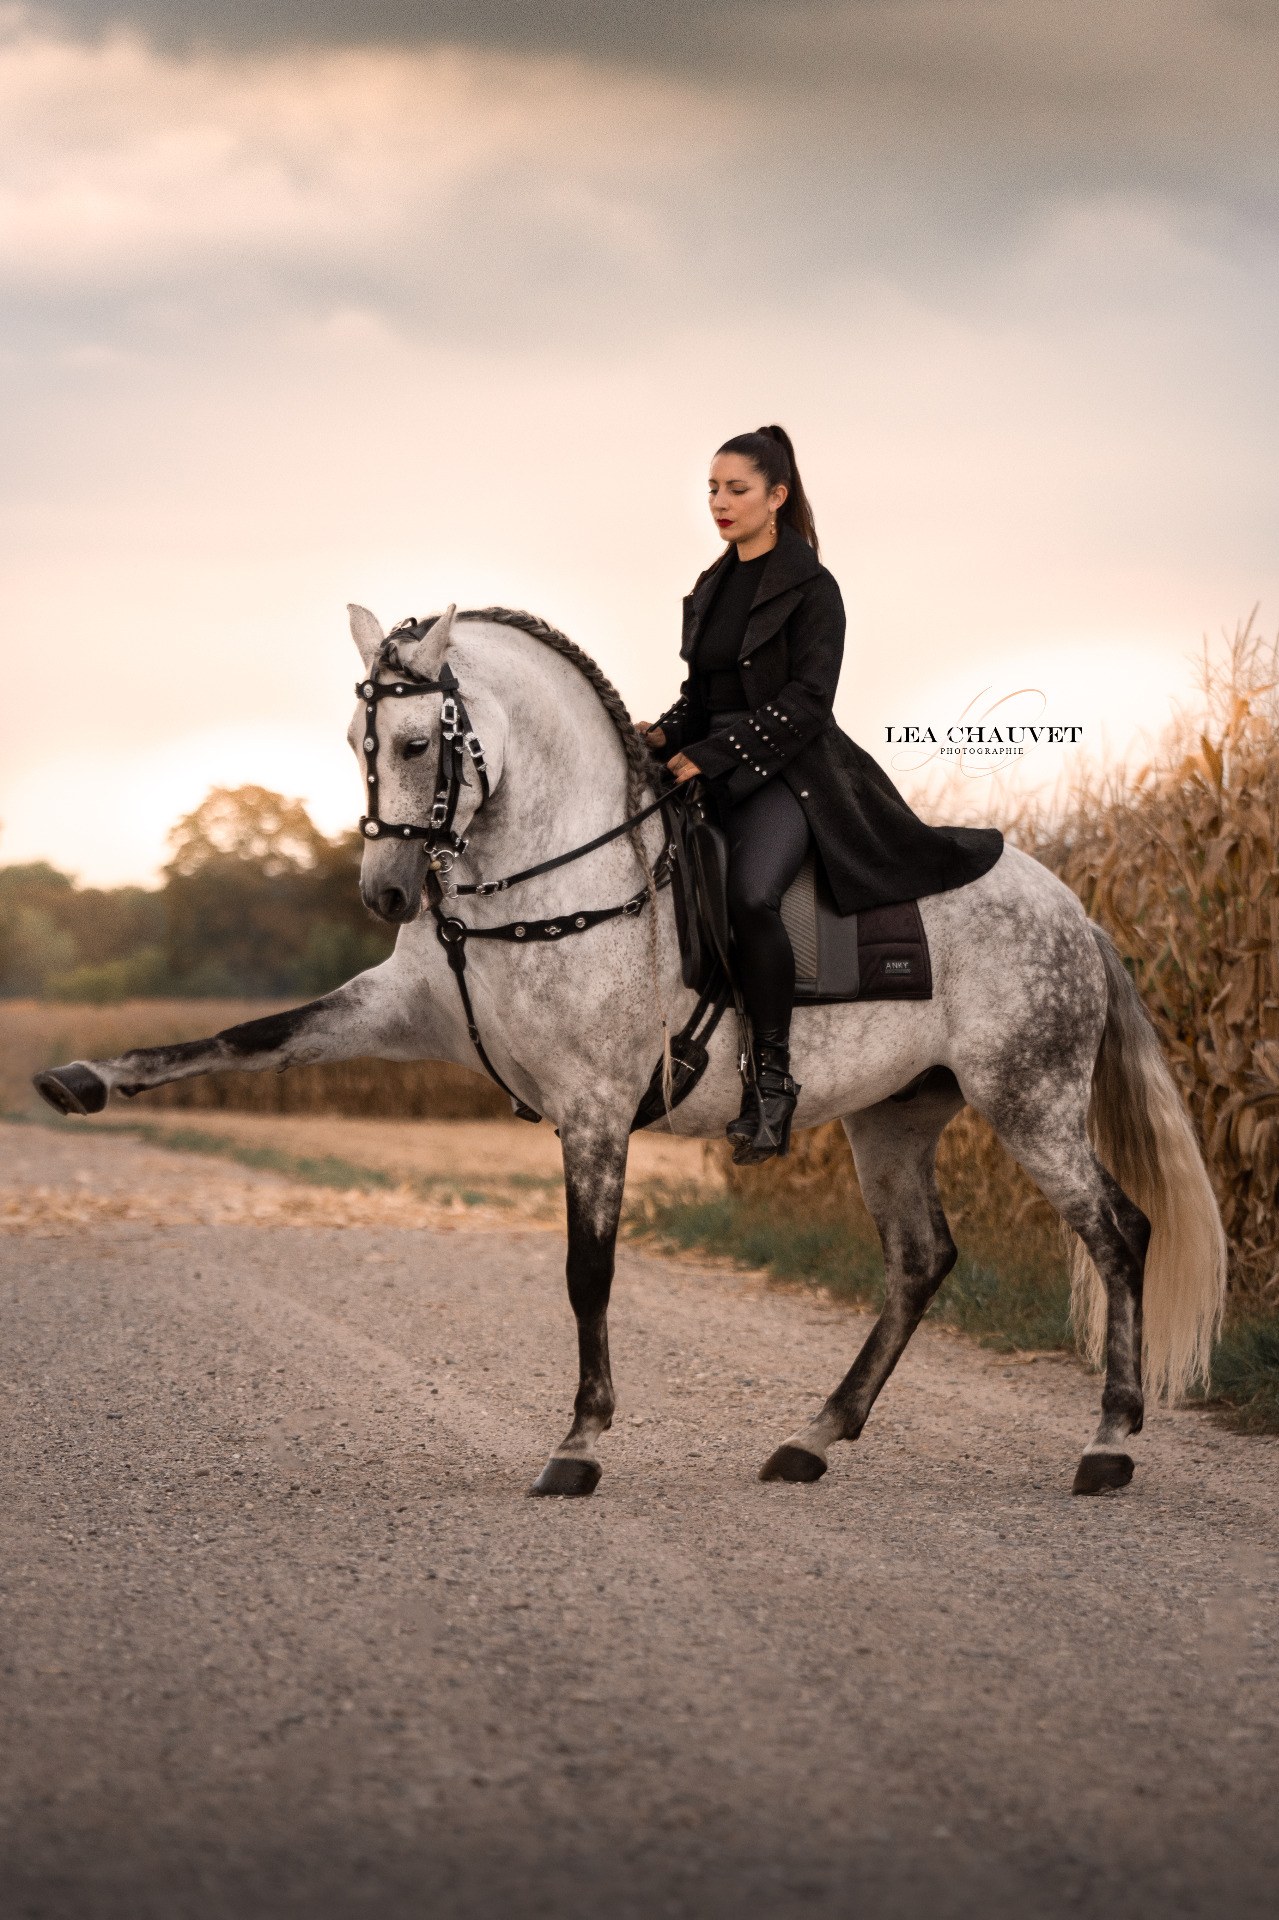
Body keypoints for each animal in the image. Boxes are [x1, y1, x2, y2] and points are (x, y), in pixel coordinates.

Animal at [34, 602, 1227, 1499]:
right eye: (353, 744)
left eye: (417, 743)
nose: (383, 894)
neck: (539, 881)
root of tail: (1073, 908)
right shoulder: (391, 1011)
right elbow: (241, 1040)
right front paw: (83, 1079)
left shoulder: (596, 1109)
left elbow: (587, 1270)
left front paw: (578, 1443)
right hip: (895, 1117)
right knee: (919, 1260)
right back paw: (810, 1437)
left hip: (1028, 1098)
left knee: (1118, 1232)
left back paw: (1107, 1444)